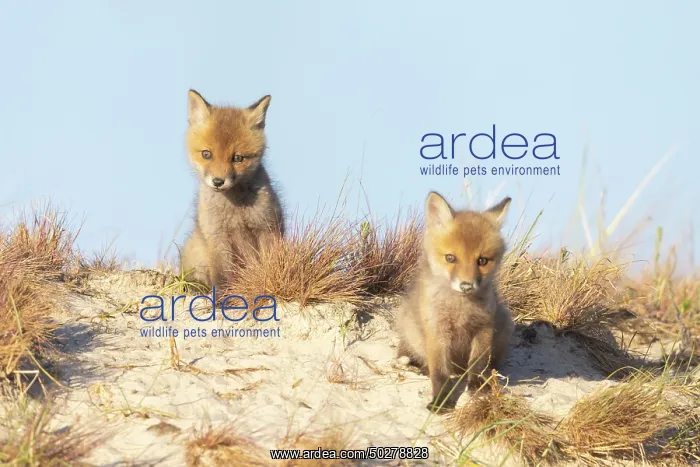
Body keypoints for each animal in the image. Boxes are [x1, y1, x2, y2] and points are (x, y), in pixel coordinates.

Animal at [180, 89, 285, 288]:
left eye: (237, 158)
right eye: (207, 154)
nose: (218, 181)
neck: (235, 210)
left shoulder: (267, 228)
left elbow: (269, 266)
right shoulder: (217, 237)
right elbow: (222, 276)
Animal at [395, 191, 514, 413]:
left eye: (482, 261)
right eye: (450, 258)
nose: (466, 285)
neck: (460, 309)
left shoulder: (484, 327)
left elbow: (477, 364)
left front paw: (478, 387)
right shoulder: (437, 331)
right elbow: (440, 373)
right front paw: (441, 399)